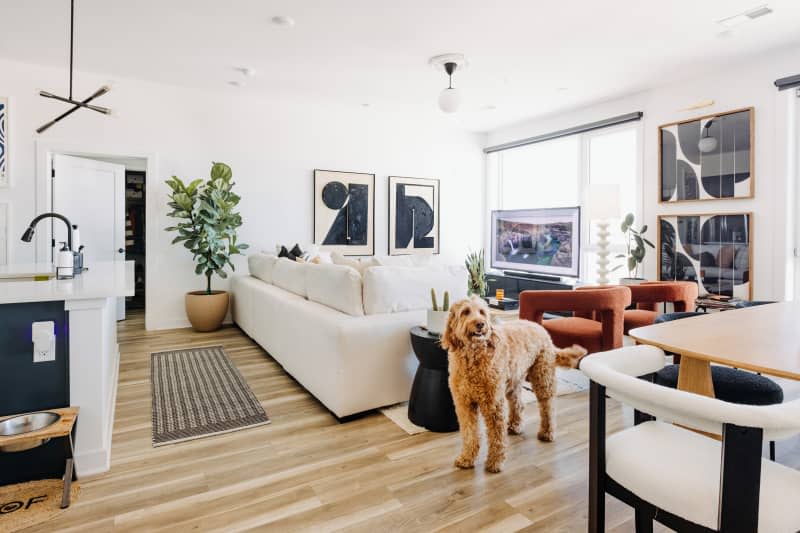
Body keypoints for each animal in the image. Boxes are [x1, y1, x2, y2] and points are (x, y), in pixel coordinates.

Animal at [440, 298, 584, 472]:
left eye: (482, 312)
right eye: (465, 312)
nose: (481, 324)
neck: (473, 357)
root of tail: (540, 328)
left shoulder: (493, 404)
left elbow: (496, 436)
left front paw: (495, 462)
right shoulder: (464, 404)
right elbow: (470, 433)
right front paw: (467, 458)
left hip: (542, 377)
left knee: (547, 406)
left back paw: (547, 433)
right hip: (514, 381)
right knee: (518, 404)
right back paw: (515, 426)